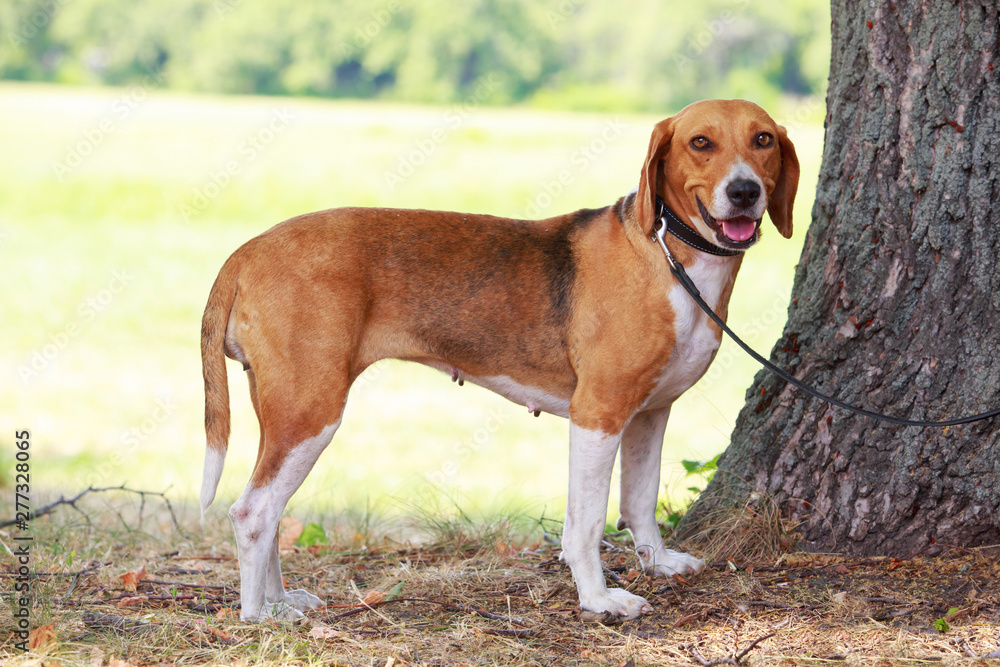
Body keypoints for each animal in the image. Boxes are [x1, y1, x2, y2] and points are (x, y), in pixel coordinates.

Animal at [199, 98, 800, 620]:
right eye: (701, 142)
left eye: (763, 140)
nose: (744, 191)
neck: (671, 256)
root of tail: (248, 250)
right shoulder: (597, 416)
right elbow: (585, 524)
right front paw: (599, 599)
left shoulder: (649, 414)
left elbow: (640, 503)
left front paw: (658, 563)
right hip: (310, 412)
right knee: (252, 511)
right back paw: (259, 616)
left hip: (285, 415)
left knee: (271, 510)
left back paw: (280, 602)